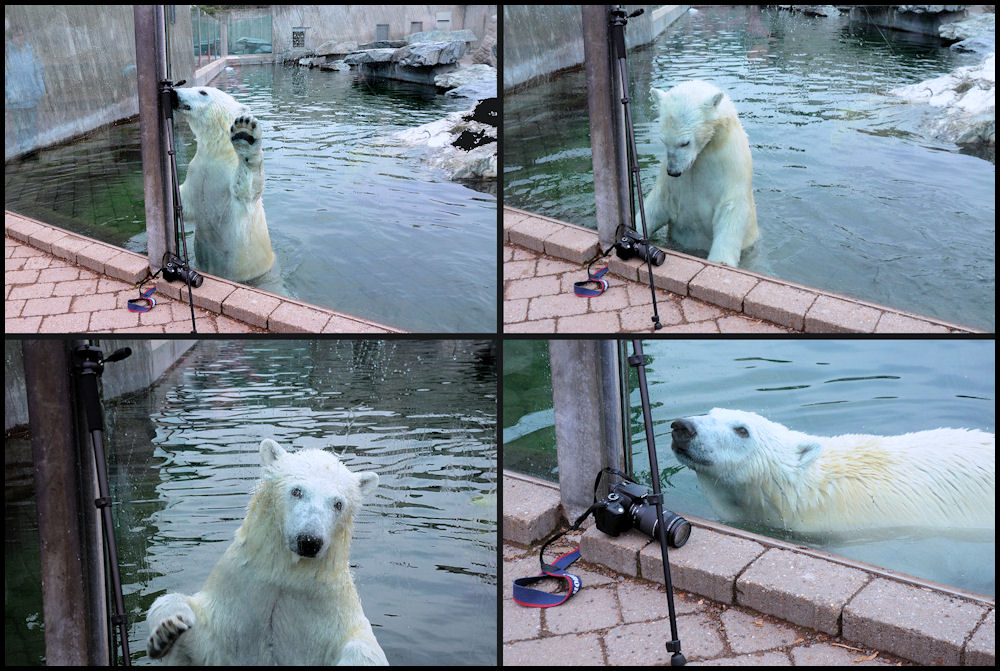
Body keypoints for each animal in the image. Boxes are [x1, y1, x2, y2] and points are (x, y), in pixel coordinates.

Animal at [171, 84, 274, 284]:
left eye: (202, 92)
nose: (174, 93)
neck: (217, 152)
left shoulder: (230, 183)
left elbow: (246, 190)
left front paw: (245, 134)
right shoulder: (196, 172)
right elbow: (184, 202)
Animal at [640, 80, 756, 266]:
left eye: (685, 143)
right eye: (663, 140)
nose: (673, 171)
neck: (705, 151)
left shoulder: (731, 166)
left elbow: (731, 209)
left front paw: (721, 261)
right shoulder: (671, 183)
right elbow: (658, 204)